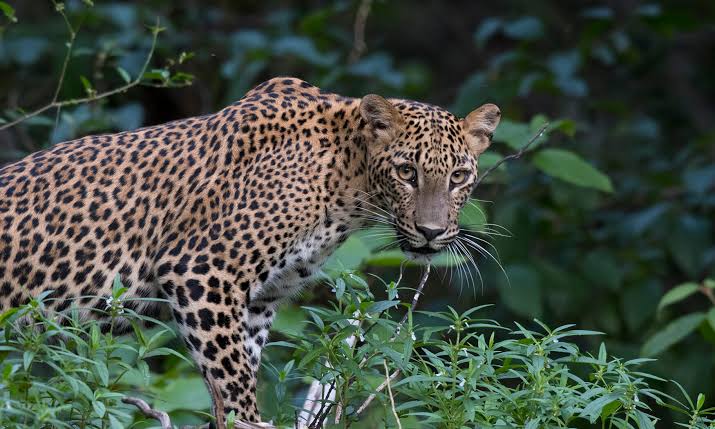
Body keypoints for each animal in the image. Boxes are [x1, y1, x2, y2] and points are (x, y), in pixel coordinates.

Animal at [0, 77, 501, 426]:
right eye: (406, 171)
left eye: (458, 176)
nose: (431, 232)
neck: (348, 180)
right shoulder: (200, 271)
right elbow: (234, 382)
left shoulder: (260, 300)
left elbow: (237, 375)